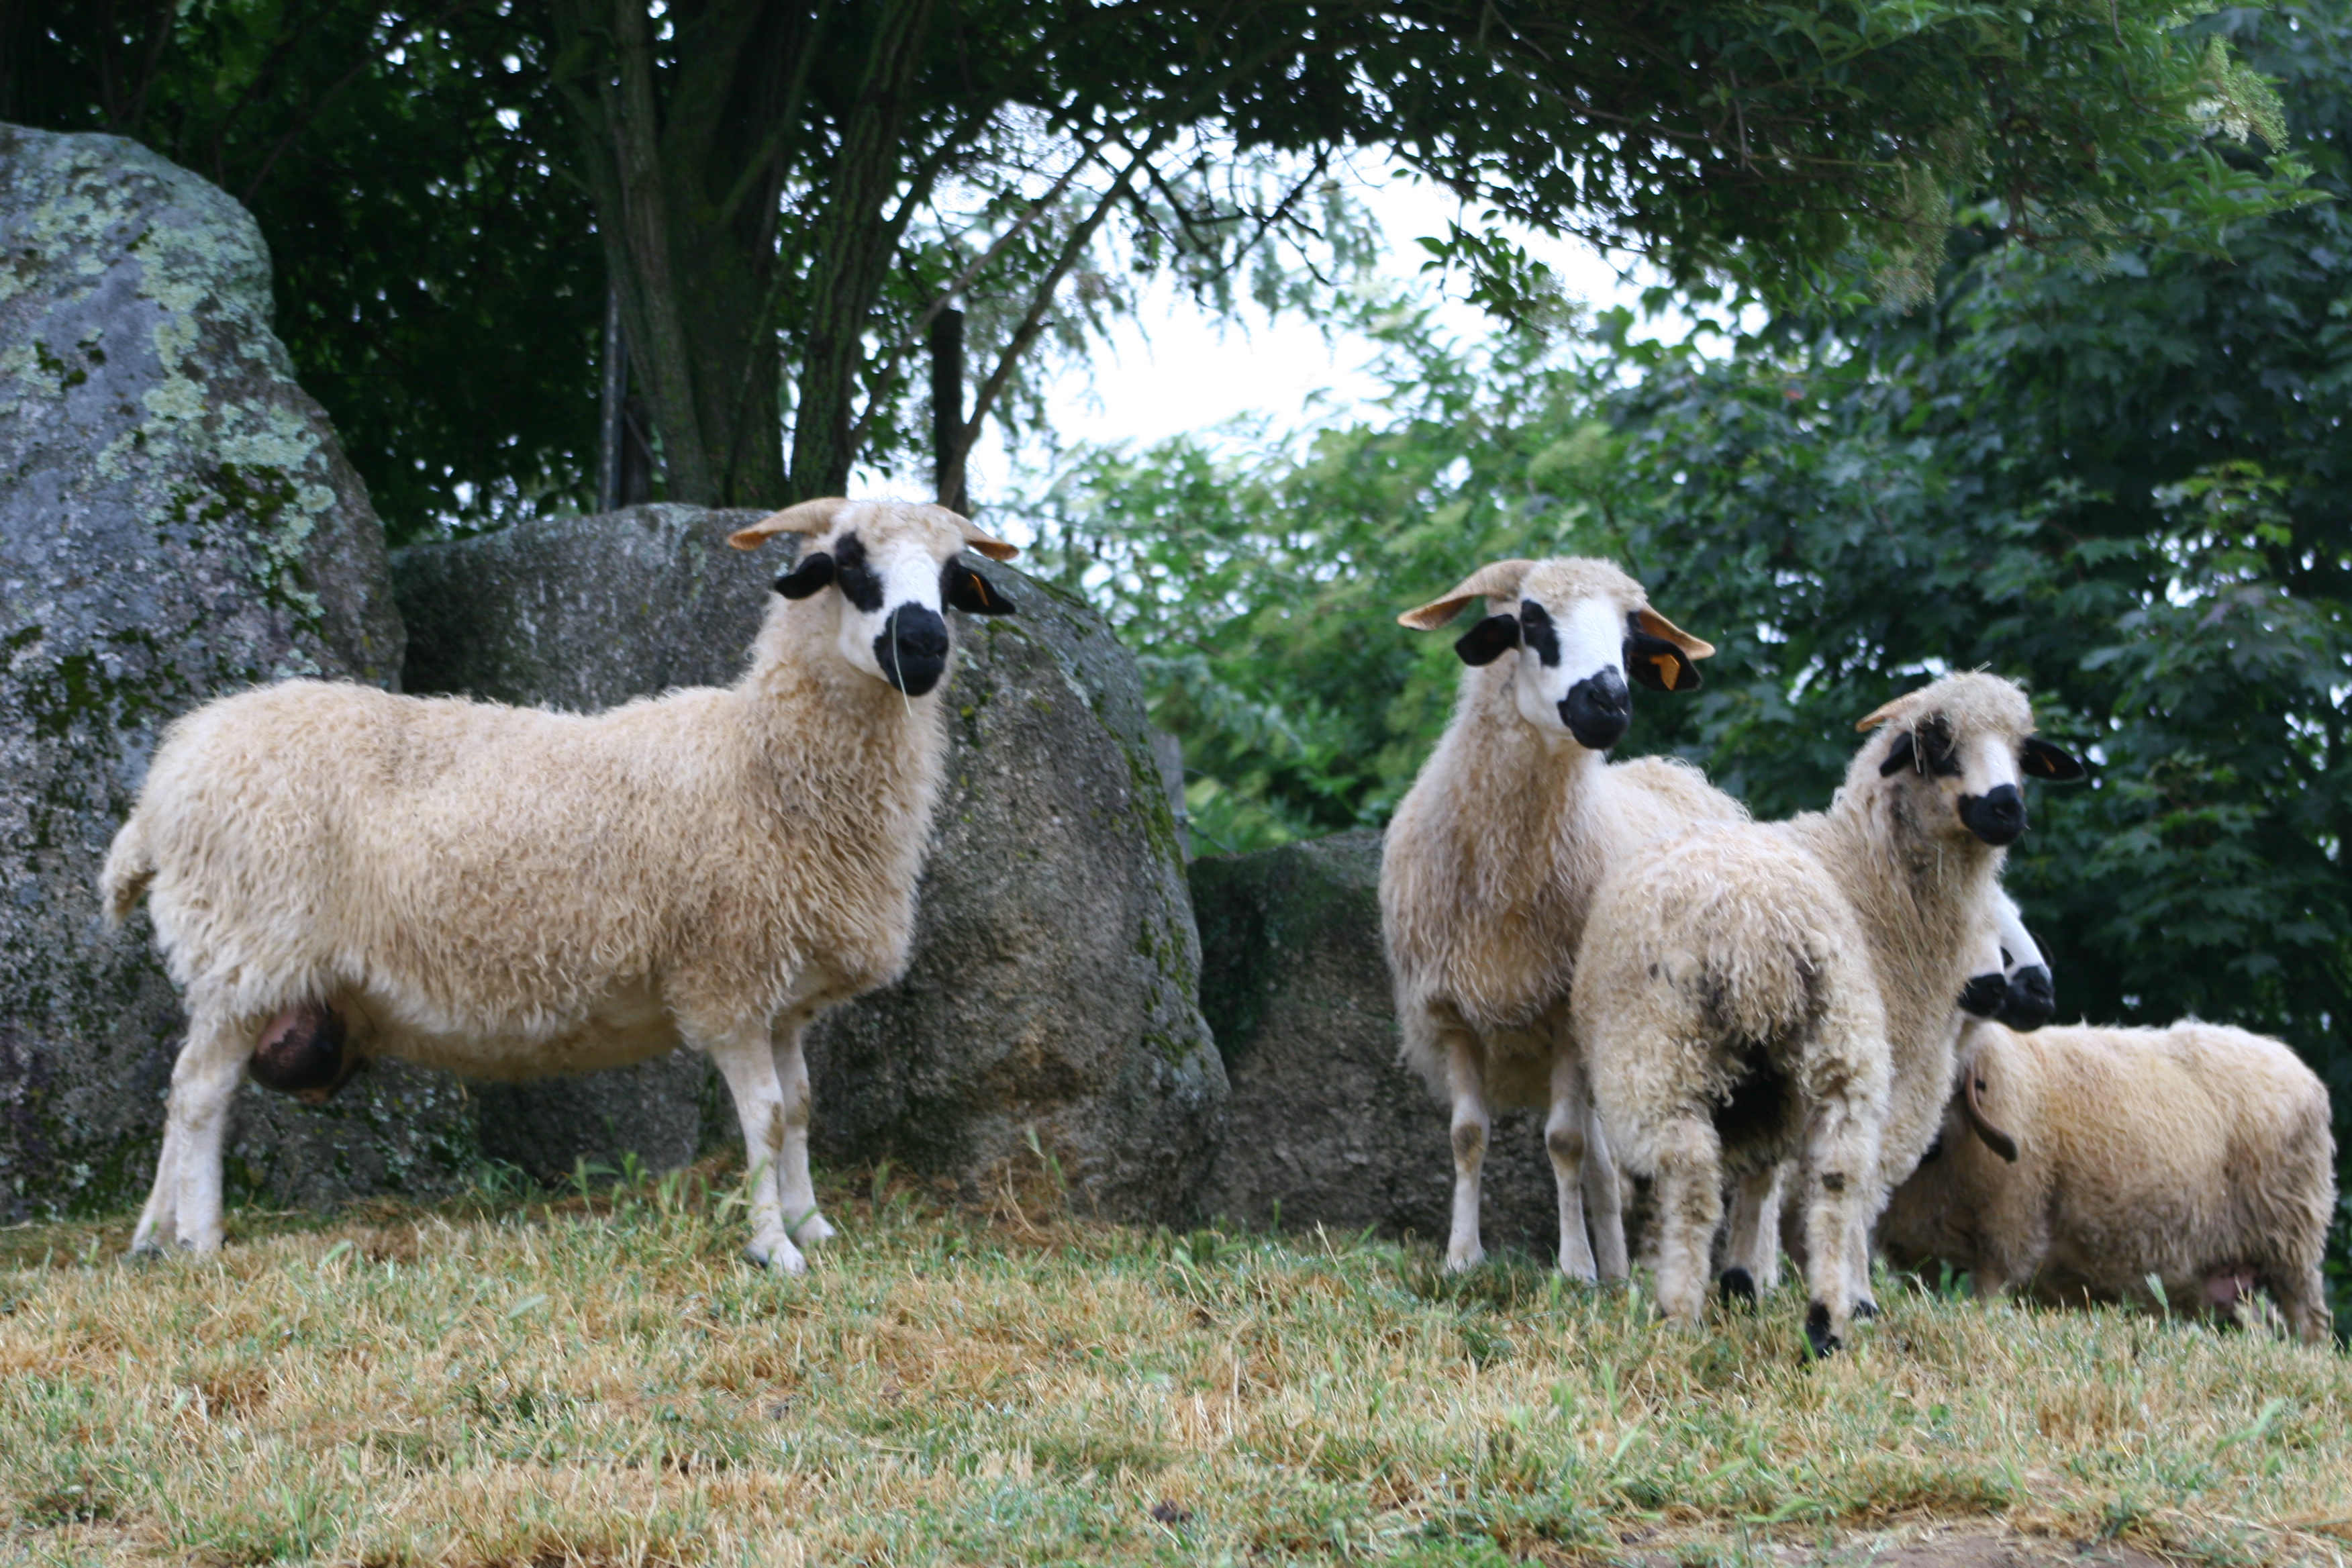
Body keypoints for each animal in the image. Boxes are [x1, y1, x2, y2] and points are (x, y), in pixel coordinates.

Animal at [98, 497, 1019, 1271]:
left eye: (952, 579)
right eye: (849, 564)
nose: (923, 646)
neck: (759, 760)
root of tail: (160, 789)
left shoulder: (783, 994)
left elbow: (797, 1108)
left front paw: (813, 1225)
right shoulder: (726, 976)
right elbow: (760, 1116)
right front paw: (775, 1250)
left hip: (230, 964)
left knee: (185, 1088)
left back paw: (152, 1236)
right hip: (246, 948)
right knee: (200, 1095)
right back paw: (201, 1241)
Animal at [1380, 556, 1733, 1281]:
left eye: (1629, 639)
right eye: (1532, 619)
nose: (1611, 703)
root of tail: (1678, 773)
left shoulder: (1568, 1011)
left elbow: (1563, 1142)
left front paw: (1573, 1269)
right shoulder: (1451, 1012)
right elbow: (1469, 1136)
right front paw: (1463, 1257)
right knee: (1609, 1166)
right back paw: (1623, 1273)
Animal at [1570, 673, 2082, 1353]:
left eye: (2023, 752)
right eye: (1936, 745)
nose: (2006, 808)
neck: (1874, 880)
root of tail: (1758, 924)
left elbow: (1792, 1178)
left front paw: (1763, 1285)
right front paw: (1803, 1288)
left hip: (1727, 1050)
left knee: (1744, 1174)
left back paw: (1744, 1314)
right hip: (1736, 1050)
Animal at [1878, 1017, 2338, 1345]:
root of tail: (2303, 1073)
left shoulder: (2006, 1233)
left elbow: (1988, 1302)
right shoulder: (1909, 1249)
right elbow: (1919, 1290)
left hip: (2290, 1237)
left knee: (2310, 1319)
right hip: (2235, 1273)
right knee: (2263, 1324)